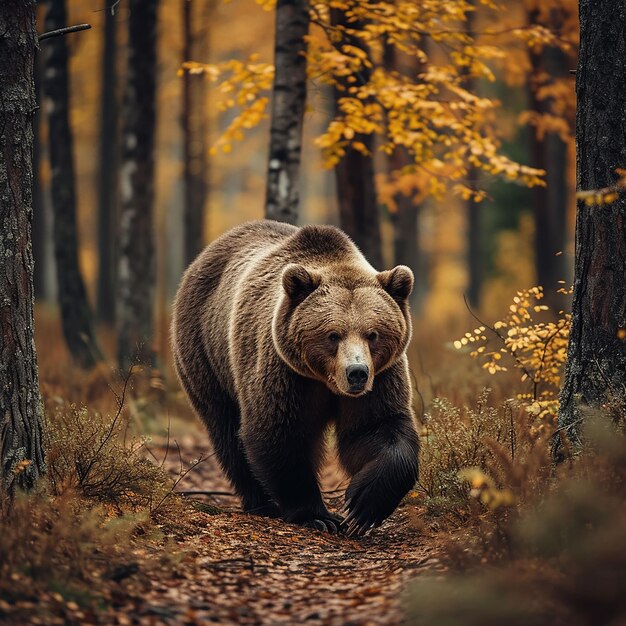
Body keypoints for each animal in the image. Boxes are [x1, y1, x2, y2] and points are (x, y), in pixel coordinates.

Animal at [169, 218, 420, 532]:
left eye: (373, 334)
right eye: (333, 334)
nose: (357, 373)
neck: (325, 381)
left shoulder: (382, 377)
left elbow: (375, 428)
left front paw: (362, 504)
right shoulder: (283, 371)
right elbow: (278, 432)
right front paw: (318, 515)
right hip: (205, 353)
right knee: (227, 430)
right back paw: (262, 504)